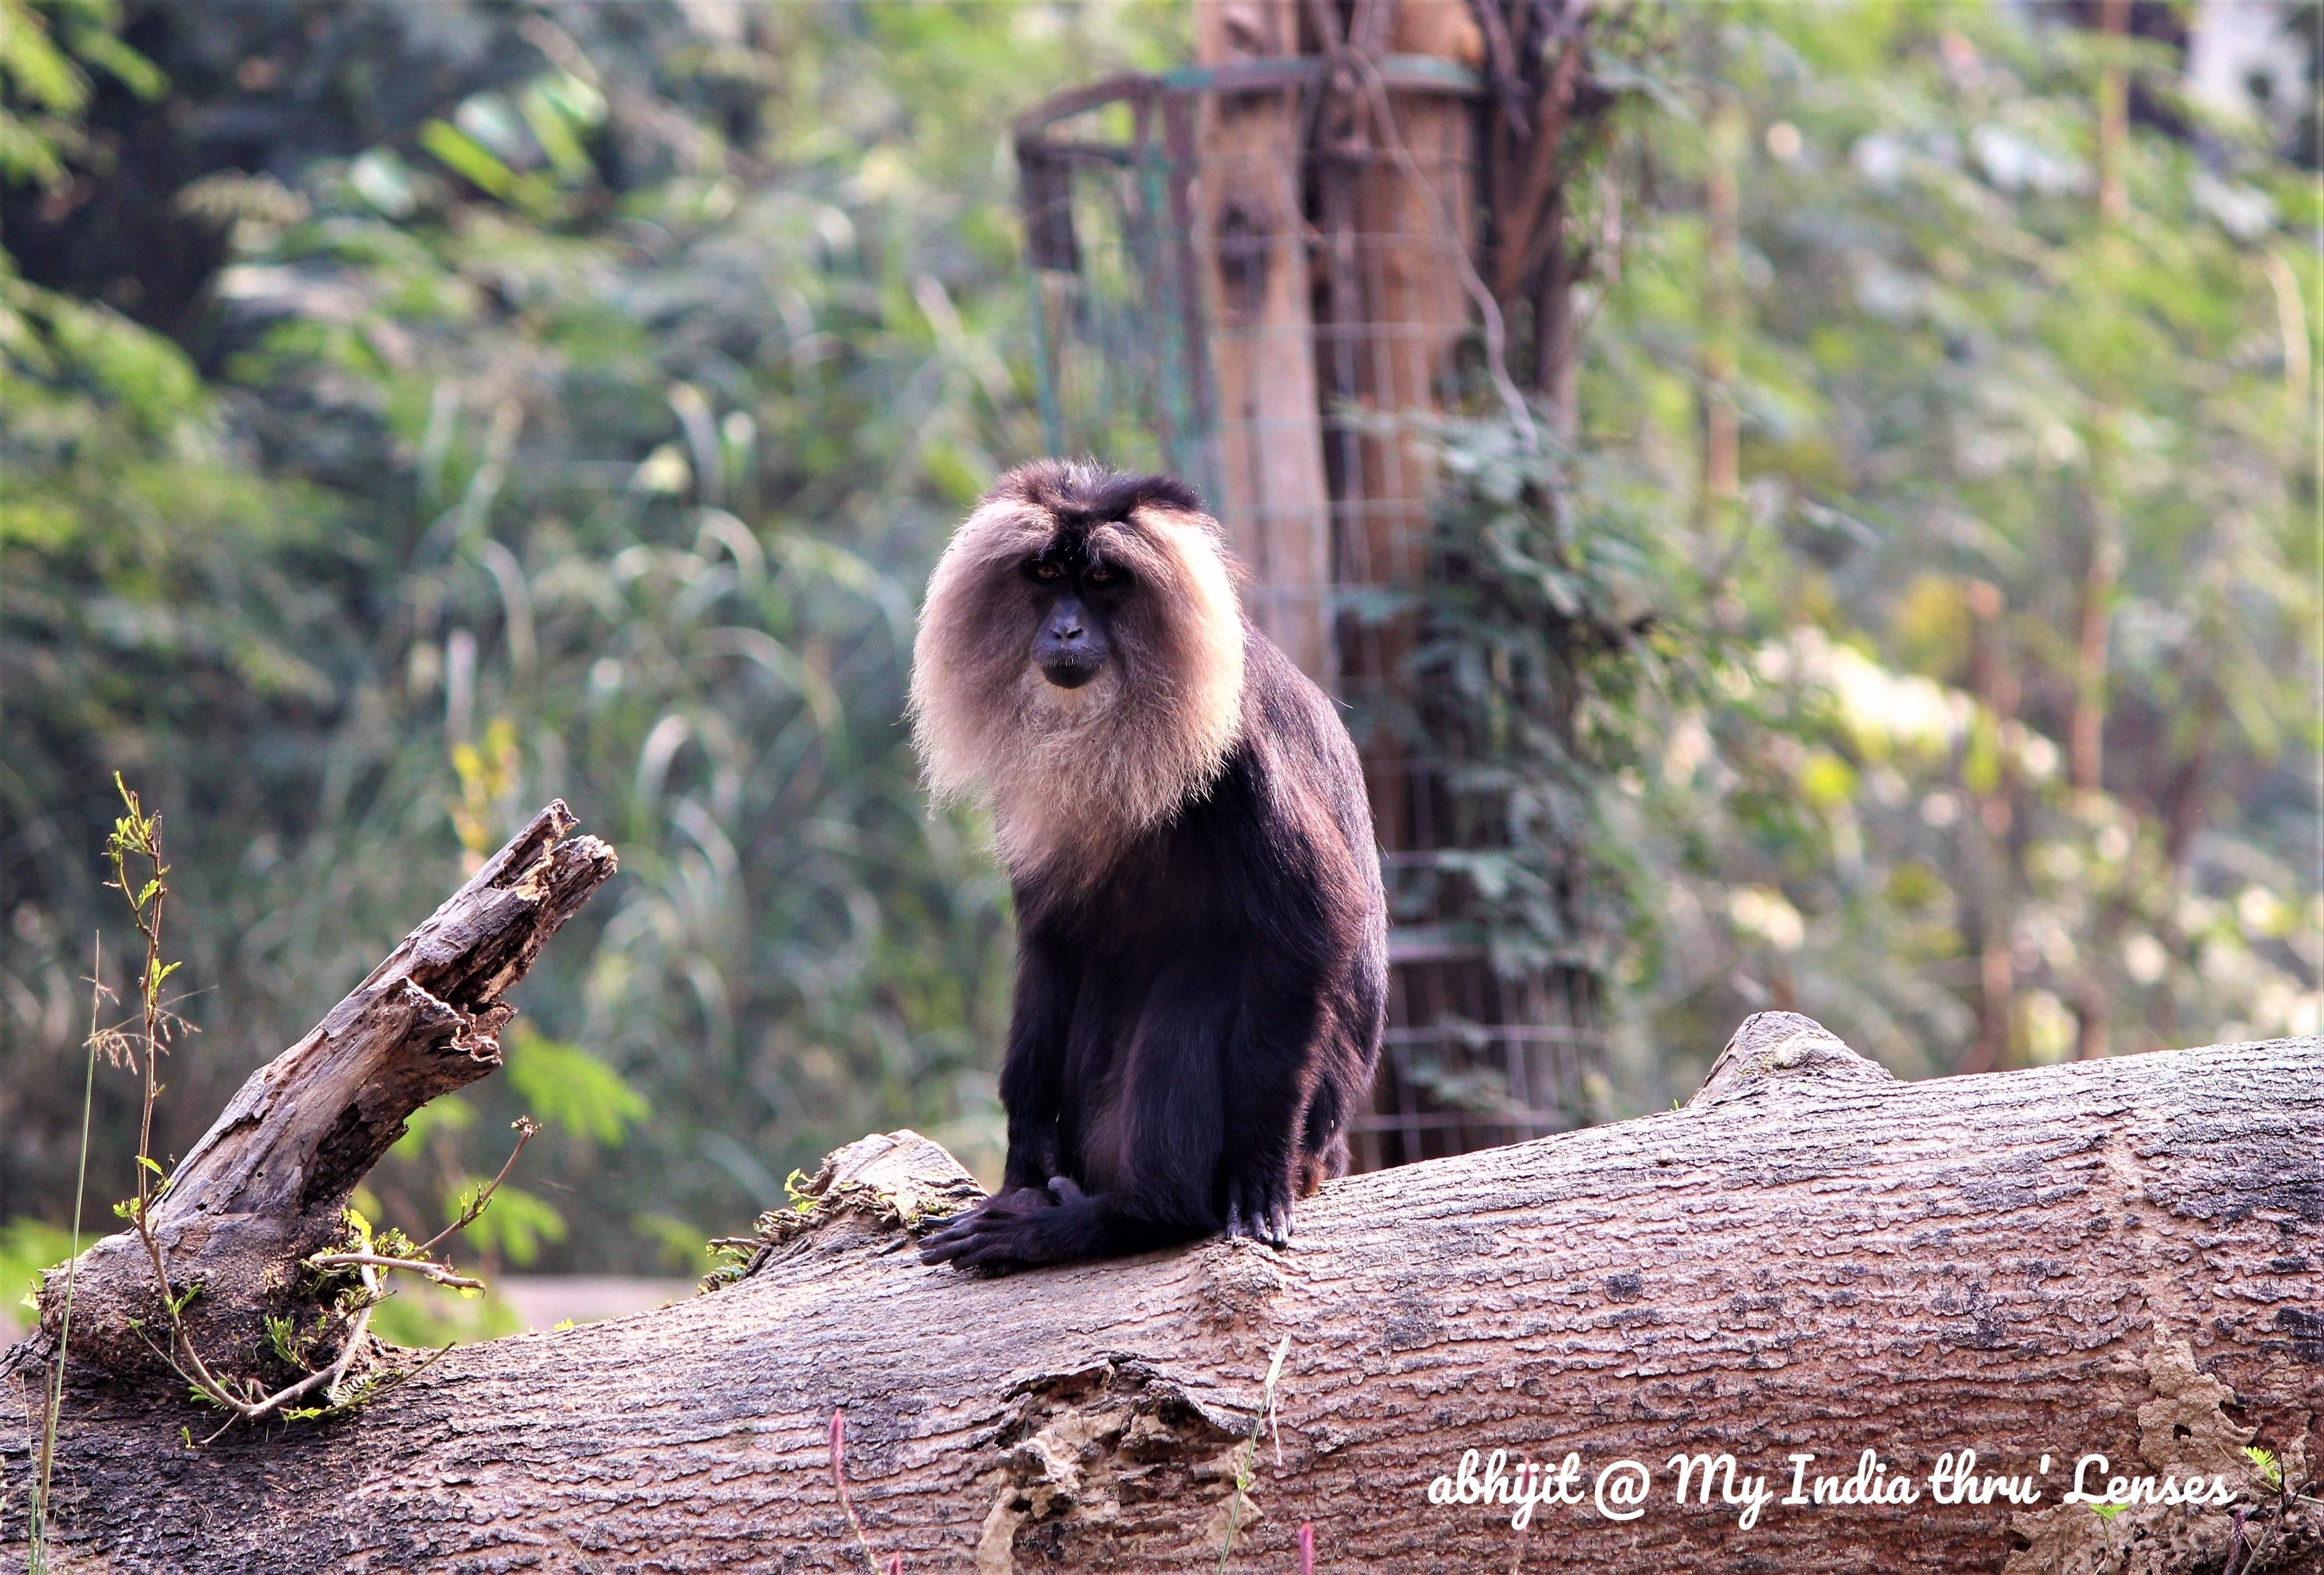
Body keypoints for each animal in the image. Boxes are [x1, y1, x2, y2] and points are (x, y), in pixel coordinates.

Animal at [906, 457, 1376, 1273]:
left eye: (1101, 580)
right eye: (1046, 574)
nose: (1064, 629)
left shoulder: (1236, 751)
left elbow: (1314, 925)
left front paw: (1254, 1176)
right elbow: (1049, 942)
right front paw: (1023, 1167)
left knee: (1201, 981)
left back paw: (1131, 1217)